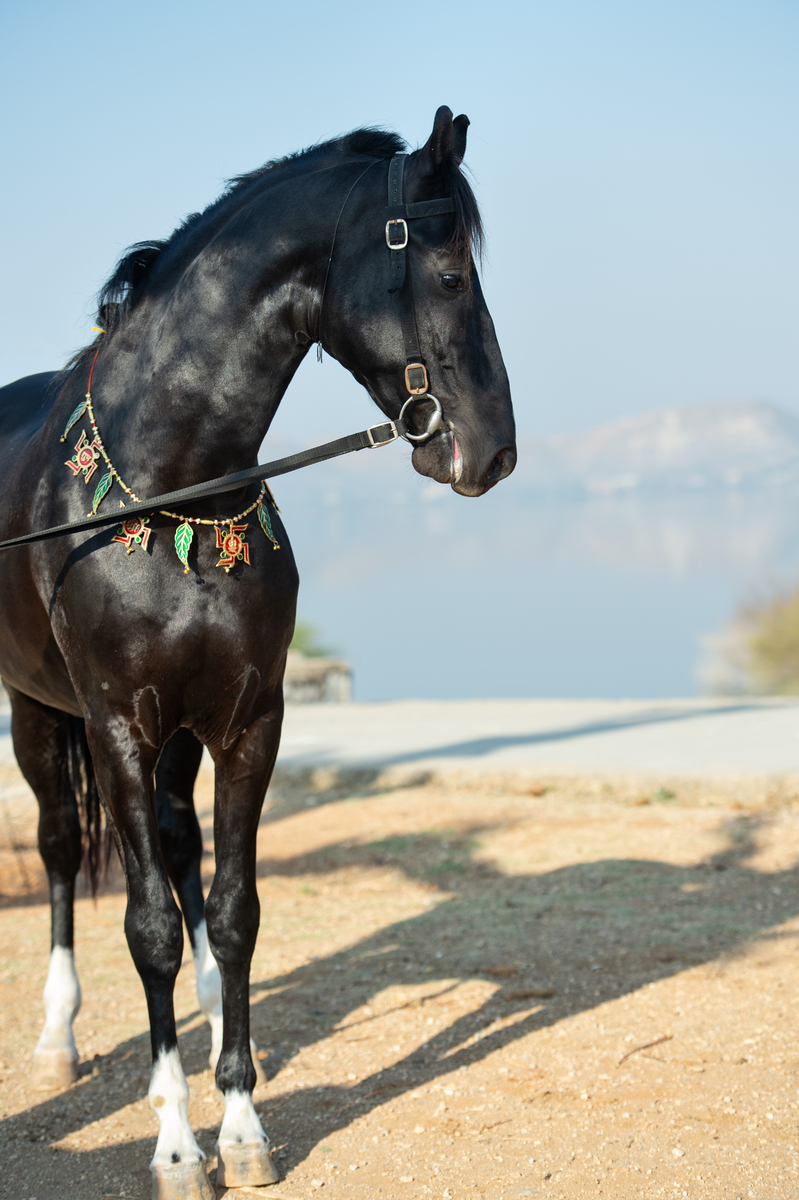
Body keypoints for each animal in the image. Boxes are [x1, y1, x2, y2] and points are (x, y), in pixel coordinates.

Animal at [0, 105, 515, 1198]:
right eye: (451, 275)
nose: (494, 450)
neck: (173, 489)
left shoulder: (247, 722)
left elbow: (233, 908)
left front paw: (239, 1122)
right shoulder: (115, 725)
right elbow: (145, 925)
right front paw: (175, 1146)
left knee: (180, 848)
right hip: (39, 712)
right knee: (62, 849)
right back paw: (59, 1039)